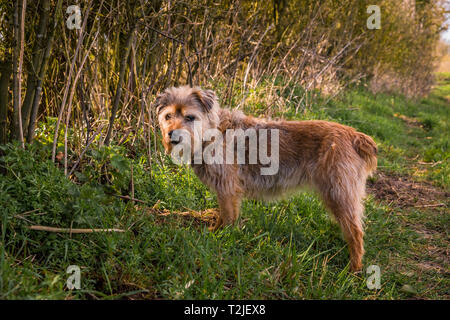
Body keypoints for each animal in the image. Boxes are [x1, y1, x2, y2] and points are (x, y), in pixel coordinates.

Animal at [155, 85, 376, 270]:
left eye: (190, 117)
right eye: (168, 116)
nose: (173, 135)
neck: (213, 132)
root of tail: (356, 137)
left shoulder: (227, 189)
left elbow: (227, 217)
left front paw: (221, 238)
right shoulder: (227, 191)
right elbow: (224, 215)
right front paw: (217, 232)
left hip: (338, 192)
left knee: (356, 232)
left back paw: (354, 268)